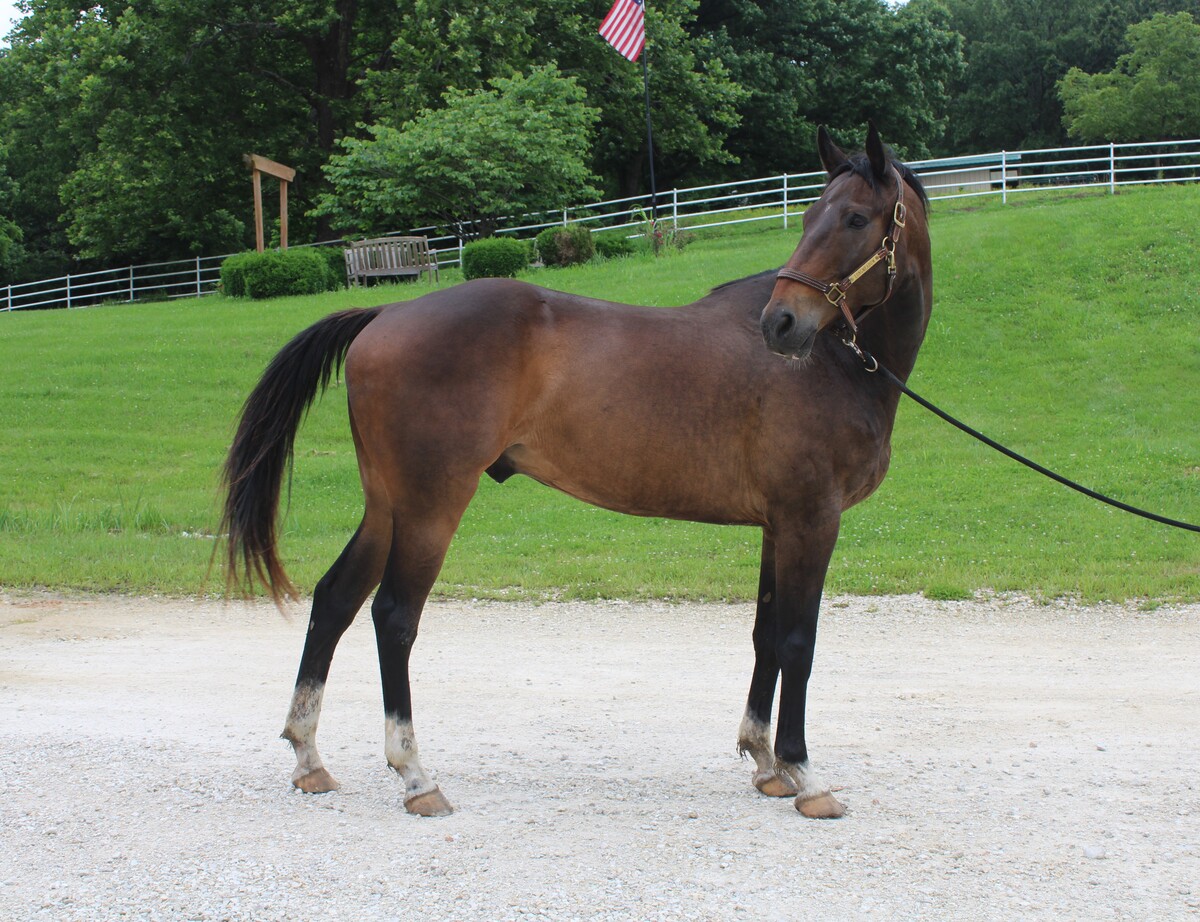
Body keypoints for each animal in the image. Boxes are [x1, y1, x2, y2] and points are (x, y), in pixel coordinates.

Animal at [221, 124, 932, 819]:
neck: (834, 363)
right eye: (812, 215)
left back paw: (310, 757)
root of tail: (386, 313)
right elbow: (797, 643)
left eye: (855, 219)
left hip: (386, 505)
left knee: (335, 600)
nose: (781, 324)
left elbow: (764, 634)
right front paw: (804, 773)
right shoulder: (812, 520)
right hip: (430, 506)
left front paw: (764, 763)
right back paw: (415, 775)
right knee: (394, 617)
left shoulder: (777, 525)